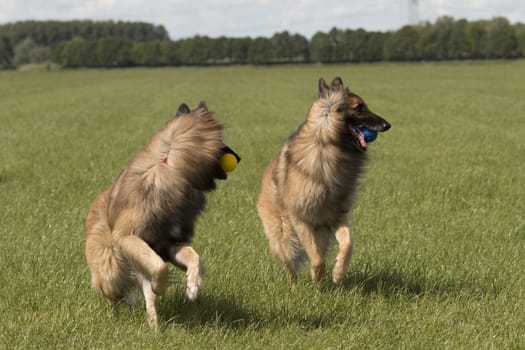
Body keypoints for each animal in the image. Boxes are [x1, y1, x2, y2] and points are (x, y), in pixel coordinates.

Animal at [86, 100, 239, 328]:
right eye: (223, 145)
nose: (239, 158)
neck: (170, 164)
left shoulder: (170, 243)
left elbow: (194, 257)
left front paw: (192, 285)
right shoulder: (128, 237)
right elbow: (160, 268)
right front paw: (162, 286)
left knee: (147, 299)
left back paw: (154, 326)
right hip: (110, 267)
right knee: (113, 298)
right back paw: (116, 322)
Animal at [256, 77, 390, 284]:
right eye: (360, 108)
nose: (387, 125)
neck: (329, 146)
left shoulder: (336, 216)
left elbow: (347, 244)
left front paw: (337, 272)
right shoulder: (302, 219)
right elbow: (317, 259)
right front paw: (319, 279)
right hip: (284, 236)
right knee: (290, 263)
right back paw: (294, 285)